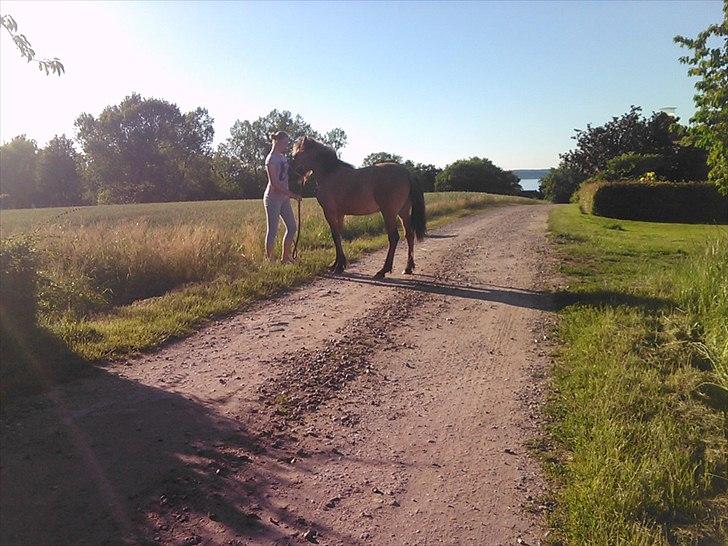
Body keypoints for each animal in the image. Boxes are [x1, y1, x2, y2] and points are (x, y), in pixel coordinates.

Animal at [292, 137, 426, 276]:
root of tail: (407, 173)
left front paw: (338, 267)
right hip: (403, 212)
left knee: (394, 237)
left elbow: (335, 236)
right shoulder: (340, 214)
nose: (291, 173)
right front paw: (337, 264)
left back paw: (383, 270)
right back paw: (408, 267)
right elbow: (338, 237)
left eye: (296, 155)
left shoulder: (329, 212)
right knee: (409, 235)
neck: (330, 174)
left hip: (389, 213)